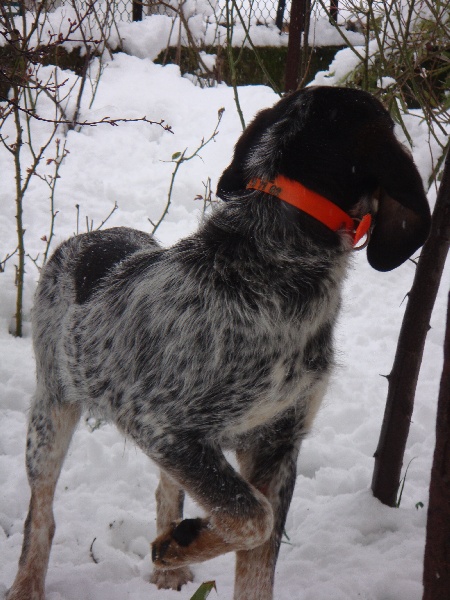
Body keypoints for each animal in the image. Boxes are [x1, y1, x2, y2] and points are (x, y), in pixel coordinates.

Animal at [8, 86, 431, 600]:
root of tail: (90, 237)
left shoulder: (277, 443)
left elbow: (257, 555)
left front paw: (180, 545)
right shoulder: (164, 427)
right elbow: (254, 517)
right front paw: (181, 542)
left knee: (166, 490)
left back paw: (169, 569)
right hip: (51, 410)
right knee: (41, 514)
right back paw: (27, 584)